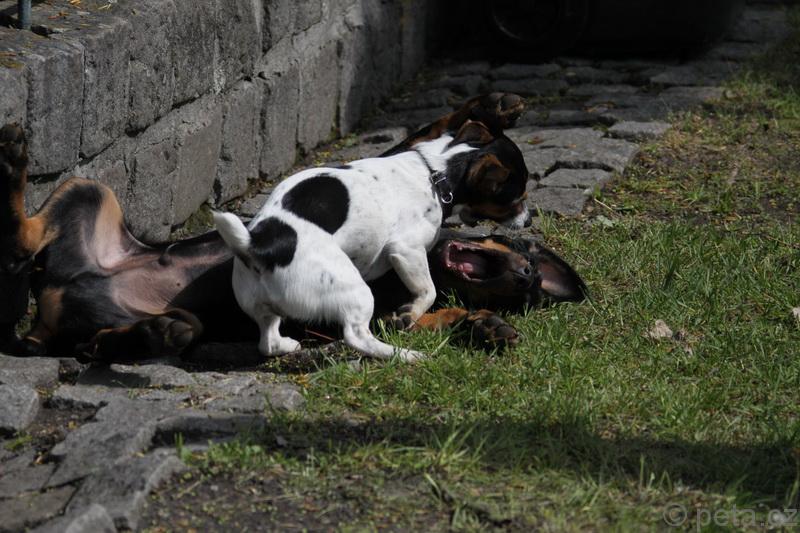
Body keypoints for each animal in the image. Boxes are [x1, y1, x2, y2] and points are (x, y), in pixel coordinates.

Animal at [0, 93, 584, 362]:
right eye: (517, 194)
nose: (532, 218)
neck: (436, 172)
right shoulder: (408, 245)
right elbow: (426, 289)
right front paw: (495, 106)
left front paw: (481, 325)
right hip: (87, 191)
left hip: (92, 207)